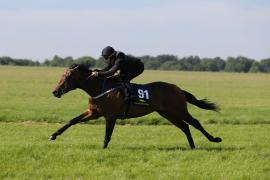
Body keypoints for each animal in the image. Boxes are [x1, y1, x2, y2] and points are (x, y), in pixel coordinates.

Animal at [50, 64, 221, 149]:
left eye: (67, 77)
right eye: (61, 76)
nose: (55, 91)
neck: (101, 88)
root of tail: (178, 89)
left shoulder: (110, 116)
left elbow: (107, 135)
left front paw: (103, 149)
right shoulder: (93, 112)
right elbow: (72, 121)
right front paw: (53, 135)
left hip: (178, 110)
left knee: (195, 123)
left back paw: (214, 139)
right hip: (167, 113)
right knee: (185, 127)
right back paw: (192, 146)